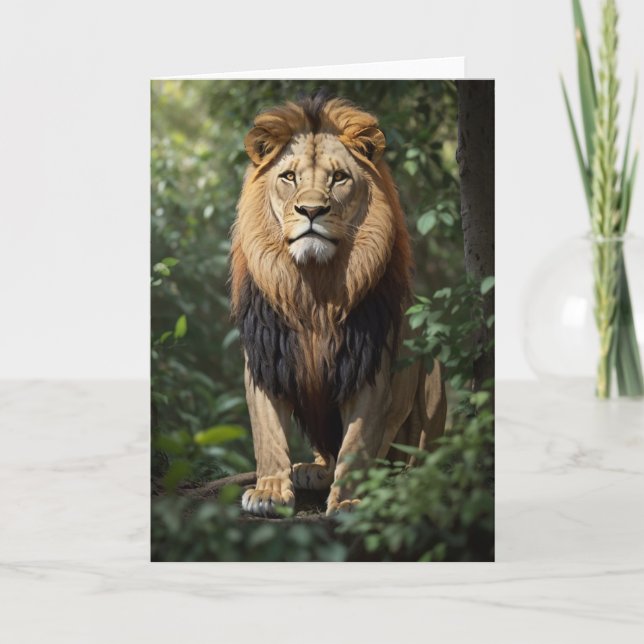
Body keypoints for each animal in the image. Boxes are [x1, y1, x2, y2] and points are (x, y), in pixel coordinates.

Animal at [229, 92, 446, 517]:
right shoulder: (265, 355)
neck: (314, 288)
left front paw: (349, 501)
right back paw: (311, 471)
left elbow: (357, 443)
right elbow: (267, 433)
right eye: (289, 177)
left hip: (430, 365)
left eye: (339, 178)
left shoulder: (369, 364)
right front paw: (269, 491)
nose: (312, 211)